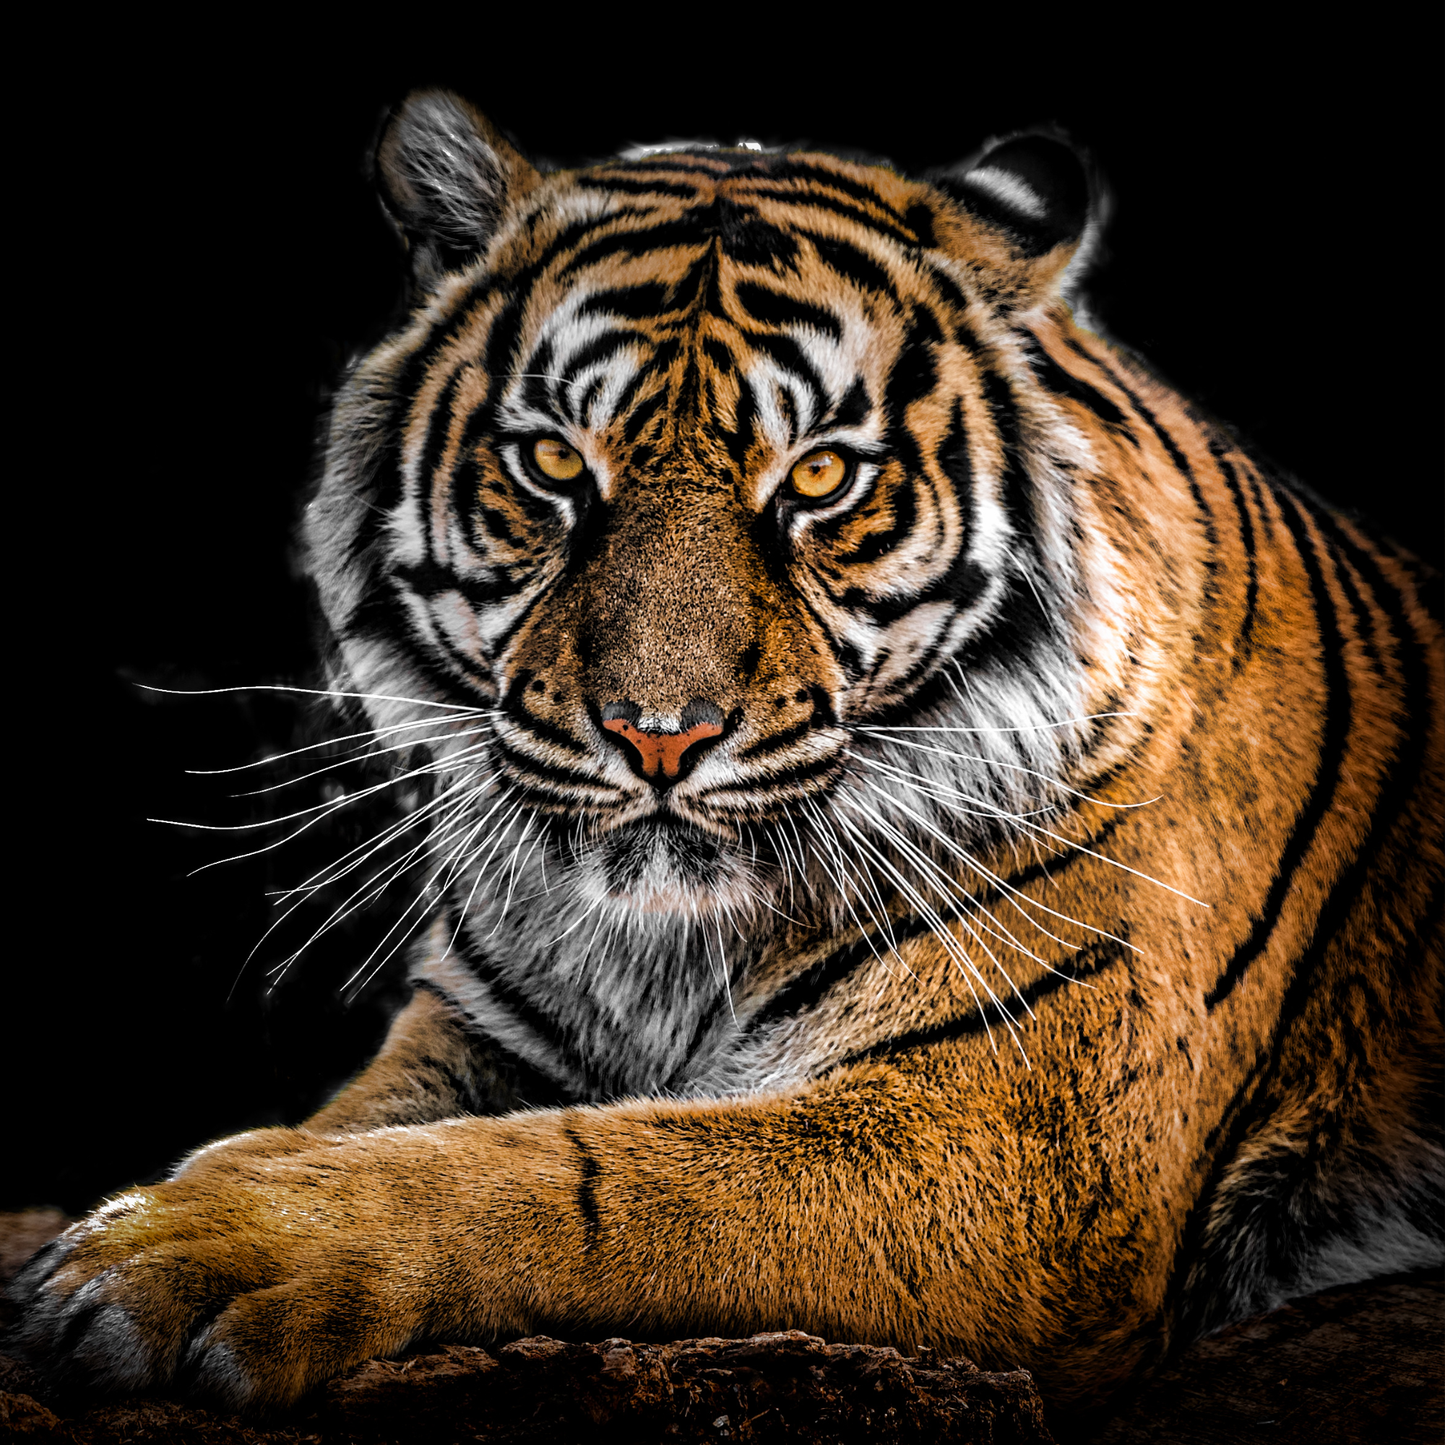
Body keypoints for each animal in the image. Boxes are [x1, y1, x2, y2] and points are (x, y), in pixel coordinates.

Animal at [10, 90, 1443, 1417]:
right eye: (550, 463)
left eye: (817, 478)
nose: (661, 735)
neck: (663, 951)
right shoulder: (474, 1029)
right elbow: (359, 1127)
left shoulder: (1014, 1146)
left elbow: (579, 1173)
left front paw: (190, 1250)